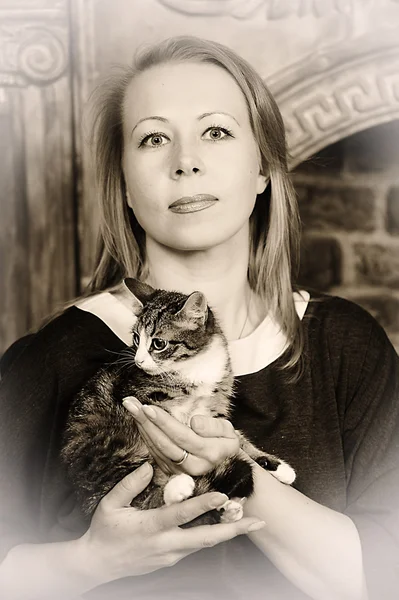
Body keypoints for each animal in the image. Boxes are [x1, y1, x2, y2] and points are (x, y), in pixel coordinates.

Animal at [61, 278, 296, 524]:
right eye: (136, 338)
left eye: (158, 344)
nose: (138, 361)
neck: (195, 367)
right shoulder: (144, 399)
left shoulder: (214, 411)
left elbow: (237, 437)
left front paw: (275, 465)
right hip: (111, 446)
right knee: (139, 493)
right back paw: (178, 488)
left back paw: (226, 509)